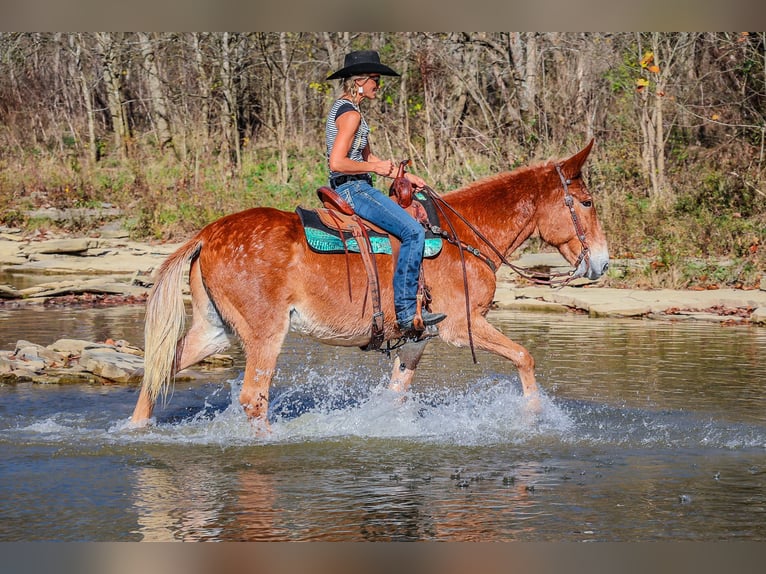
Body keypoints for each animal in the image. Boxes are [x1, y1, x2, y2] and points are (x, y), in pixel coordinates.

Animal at [130, 140, 609, 427]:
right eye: (586, 202)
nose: (603, 262)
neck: (463, 236)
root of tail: (206, 233)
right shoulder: (463, 326)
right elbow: (525, 357)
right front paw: (534, 416)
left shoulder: (418, 338)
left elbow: (396, 395)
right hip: (265, 333)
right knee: (253, 398)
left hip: (215, 330)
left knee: (159, 371)